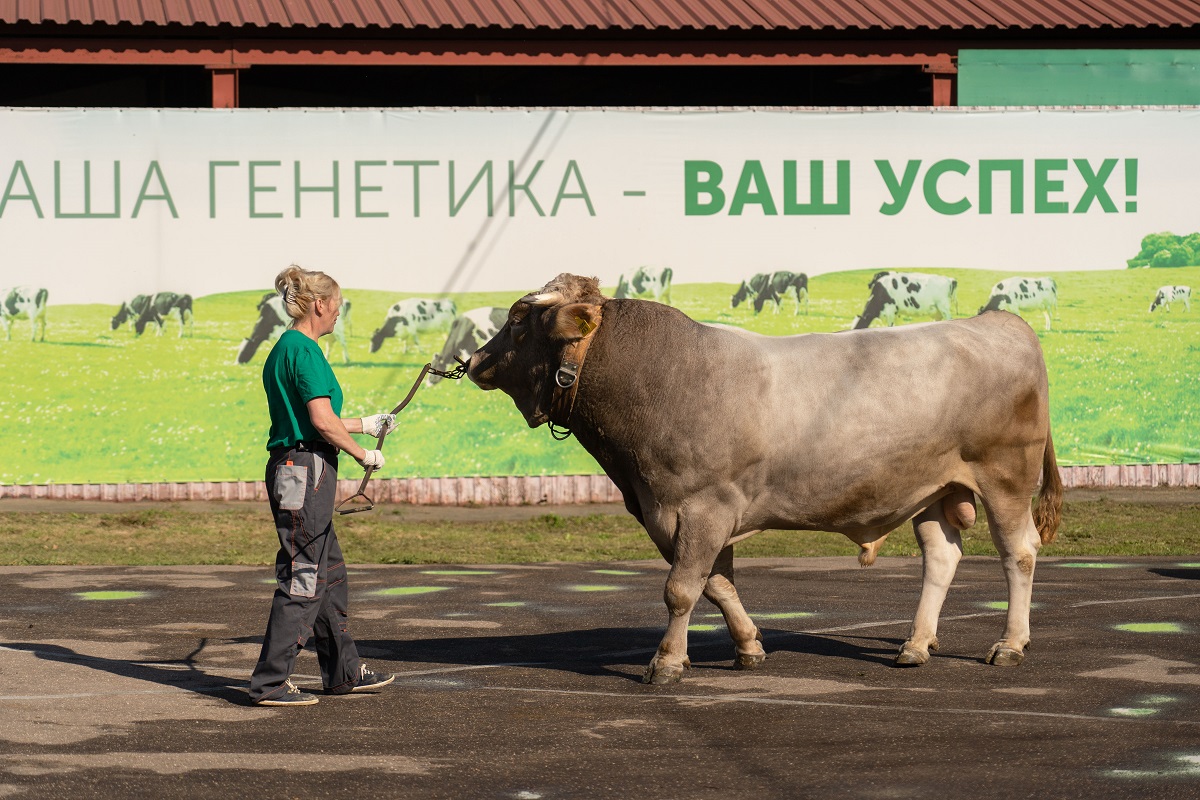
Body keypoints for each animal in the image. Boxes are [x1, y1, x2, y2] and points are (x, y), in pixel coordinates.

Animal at [465, 273, 1060, 681]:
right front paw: (749, 647)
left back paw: (1009, 645)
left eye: (516, 318)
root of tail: (1000, 323)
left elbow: (681, 588)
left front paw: (667, 662)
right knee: (941, 556)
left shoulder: (702, 505)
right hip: (935, 489)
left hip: (1005, 477)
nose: (472, 361)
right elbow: (717, 584)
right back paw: (915, 645)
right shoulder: (682, 513)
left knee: (1019, 553)